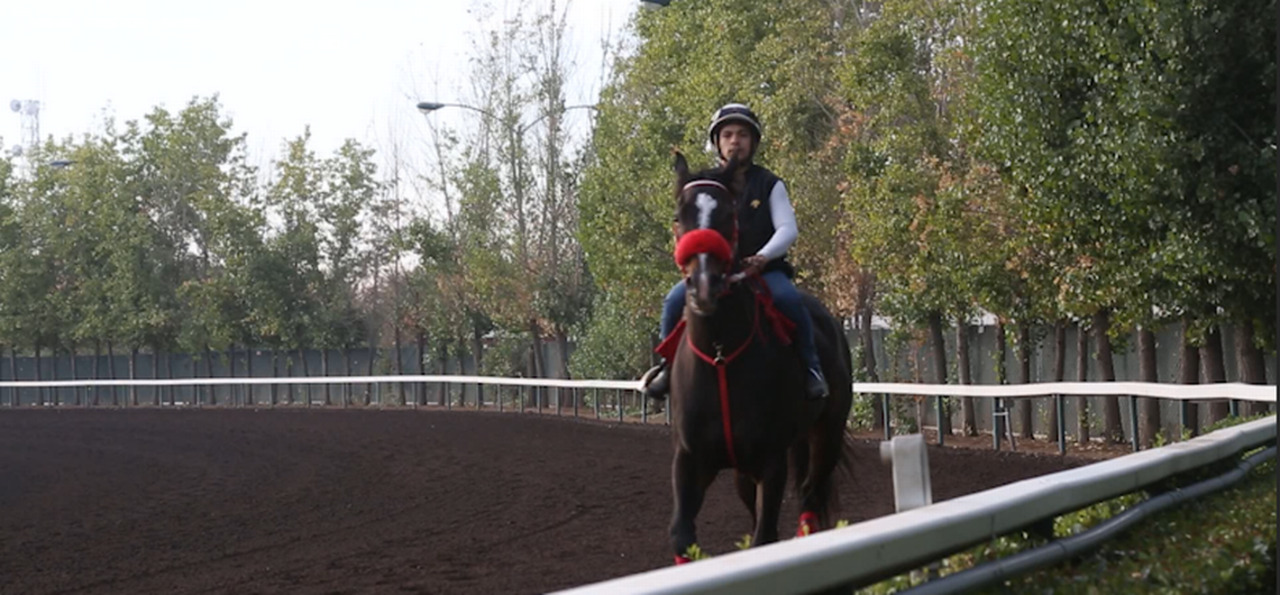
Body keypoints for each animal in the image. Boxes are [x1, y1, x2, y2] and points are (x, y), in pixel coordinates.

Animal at [663, 151, 854, 564]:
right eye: (680, 214)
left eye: (728, 213)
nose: (705, 285)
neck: (721, 356)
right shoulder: (690, 459)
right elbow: (682, 536)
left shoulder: (771, 461)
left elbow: (765, 536)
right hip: (745, 469)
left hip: (827, 434)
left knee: (810, 496)